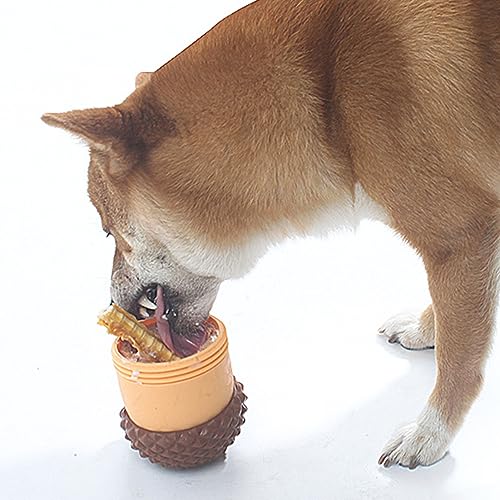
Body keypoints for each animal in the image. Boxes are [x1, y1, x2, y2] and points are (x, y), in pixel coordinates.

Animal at [41, 0, 498, 468]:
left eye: (106, 231)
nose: (111, 303)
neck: (329, 89)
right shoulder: (469, 239)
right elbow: (453, 321)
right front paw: (427, 330)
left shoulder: (460, 237)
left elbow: (460, 361)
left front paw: (431, 434)